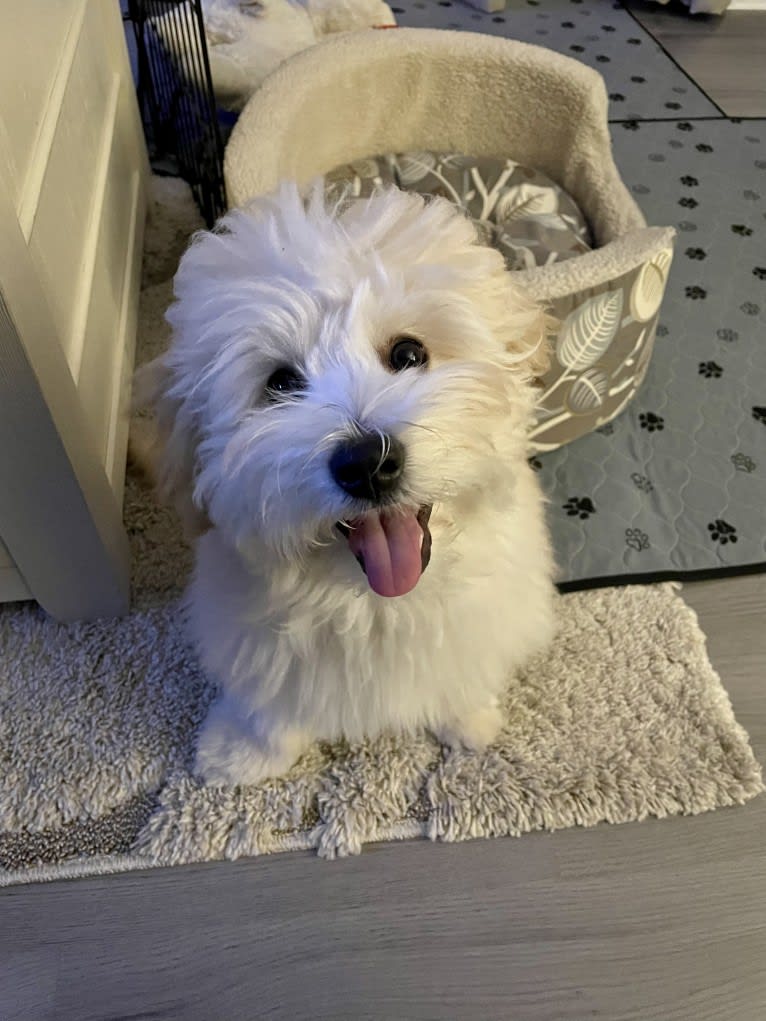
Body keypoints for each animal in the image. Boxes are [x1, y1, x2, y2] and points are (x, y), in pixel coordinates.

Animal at [140, 183, 555, 784]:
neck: (376, 603)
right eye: (281, 383)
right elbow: (267, 708)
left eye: (408, 353)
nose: (367, 462)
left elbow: (464, 668)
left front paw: (468, 718)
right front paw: (240, 750)